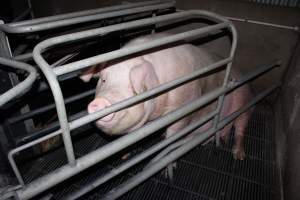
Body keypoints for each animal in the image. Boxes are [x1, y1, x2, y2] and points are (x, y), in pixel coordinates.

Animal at [81, 33, 252, 161]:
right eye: (104, 80)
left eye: (133, 87)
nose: (100, 102)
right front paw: (125, 155)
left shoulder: (185, 106)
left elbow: (173, 134)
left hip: (244, 99)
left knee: (240, 128)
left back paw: (239, 156)